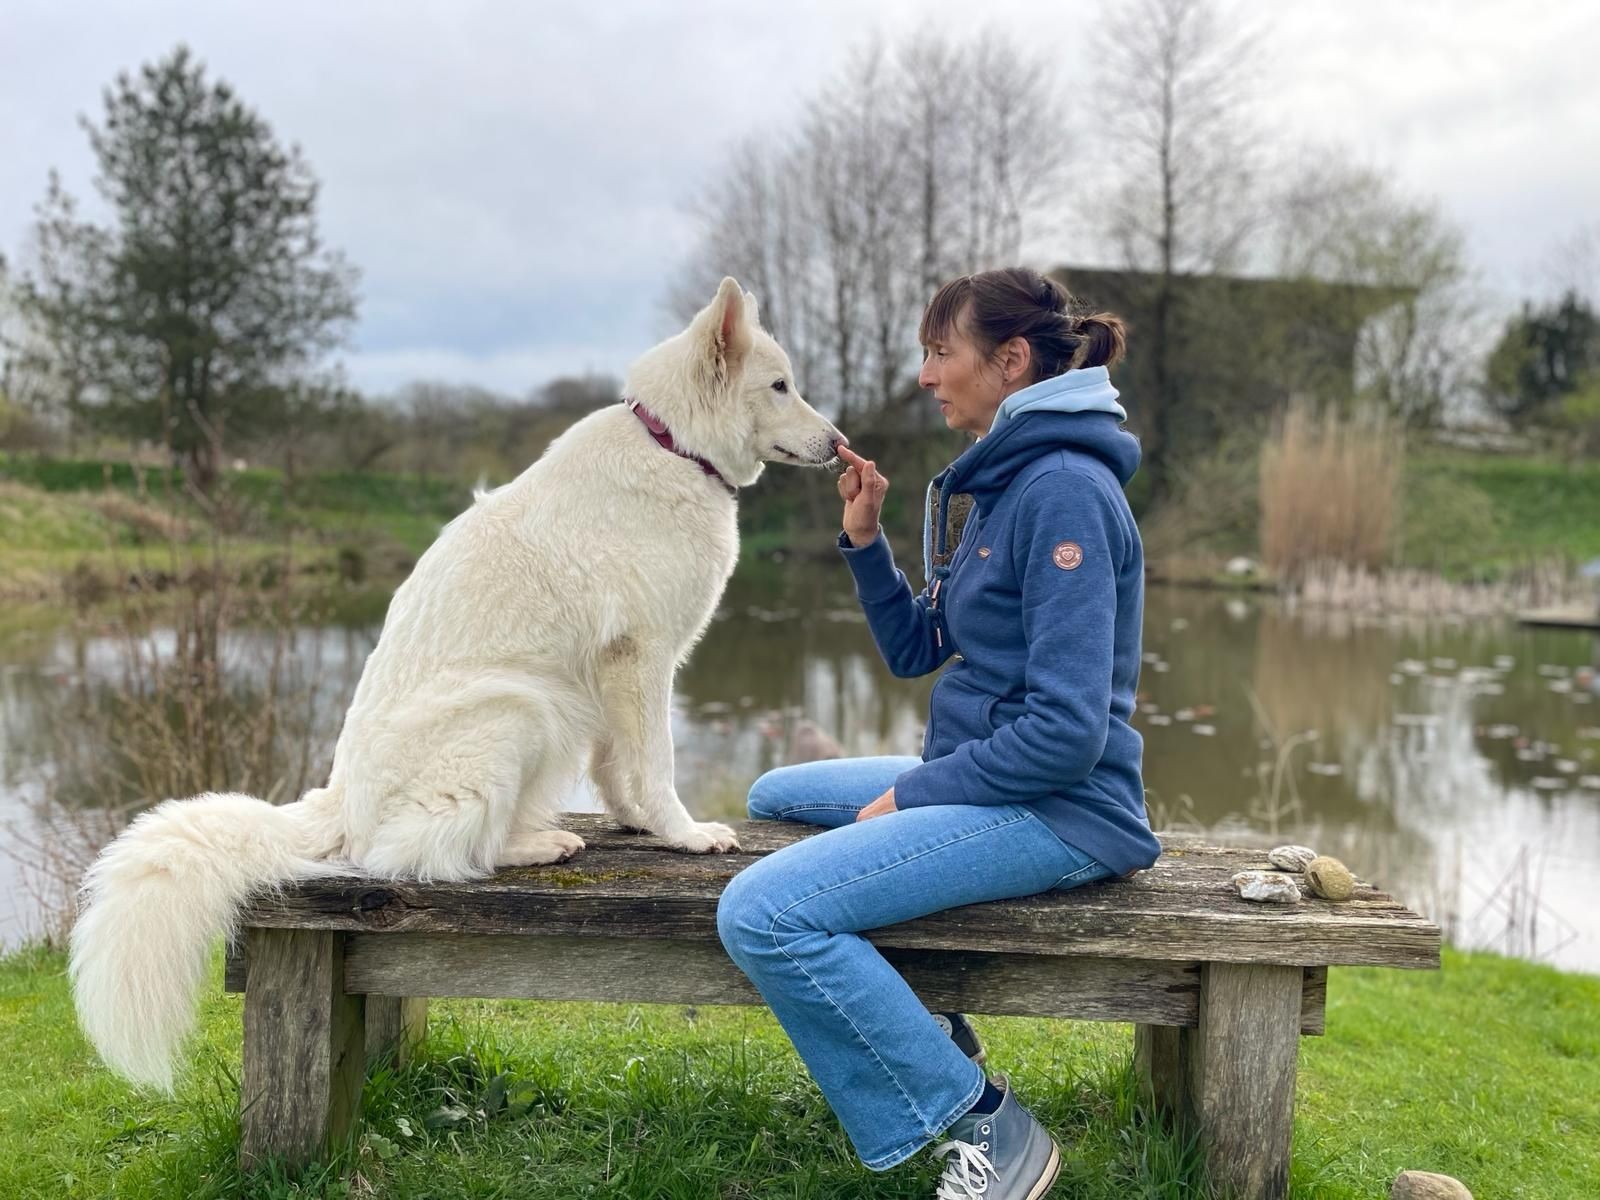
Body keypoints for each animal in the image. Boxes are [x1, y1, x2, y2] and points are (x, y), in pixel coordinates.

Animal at [72, 276, 851, 1094]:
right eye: (780, 386)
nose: (837, 444)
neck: (674, 448)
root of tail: (336, 806)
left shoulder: (619, 674)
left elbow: (619, 767)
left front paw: (637, 823)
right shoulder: (639, 661)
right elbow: (656, 764)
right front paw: (684, 834)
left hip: (546, 709)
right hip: (518, 706)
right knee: (429, 854)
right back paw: (533, 847)